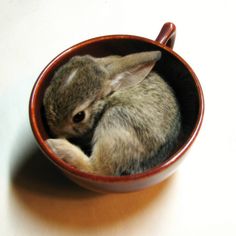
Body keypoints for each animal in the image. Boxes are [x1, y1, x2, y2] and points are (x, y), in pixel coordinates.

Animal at [43, 50, 181, 176]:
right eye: (46, 94)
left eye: (79, 116)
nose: (55, 132)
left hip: (115, 120)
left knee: (99, 169)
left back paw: (56, 146)